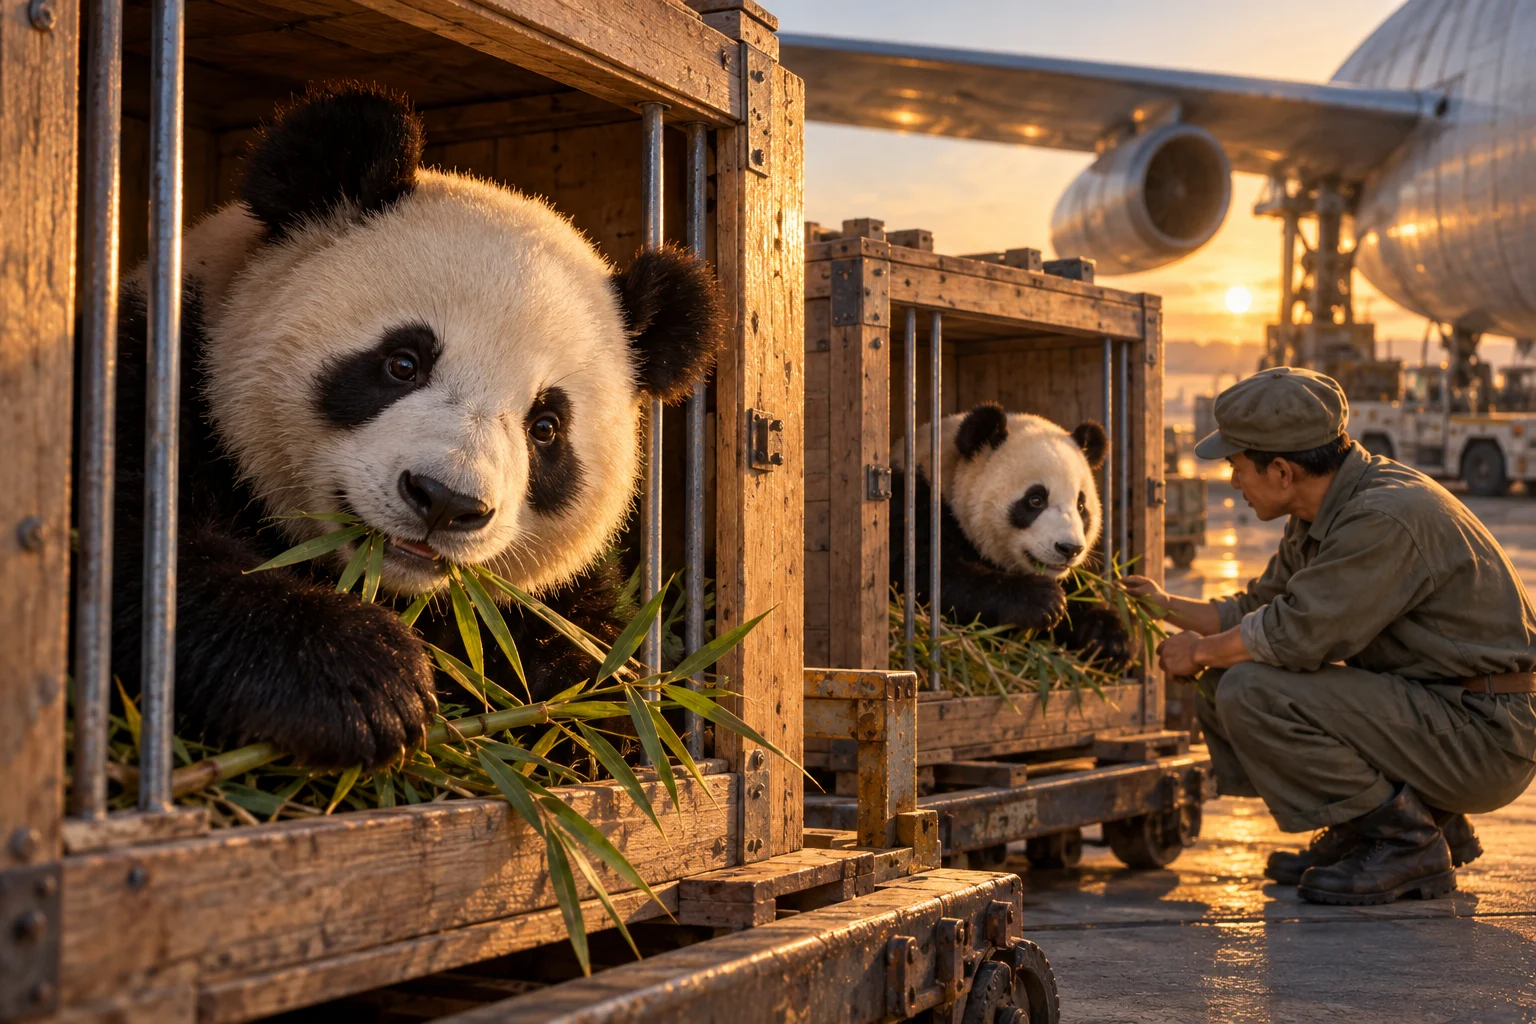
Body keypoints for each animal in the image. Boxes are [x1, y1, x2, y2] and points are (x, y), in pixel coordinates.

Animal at [105, 83, 725, 770]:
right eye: (403, 363)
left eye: (545, 427)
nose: (447, 501)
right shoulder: (154, 377)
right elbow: (133, 551)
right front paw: (362, 681)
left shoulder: (547, 604)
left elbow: (592, 675)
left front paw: (586, 730)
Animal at [889, 402, 1133, 669]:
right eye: (1035, 500)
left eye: (1081, 506)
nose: (1069, 549)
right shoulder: (913, 507)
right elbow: (925, 578)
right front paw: (1043, 600)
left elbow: (1080, 596)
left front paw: (1110, 640)